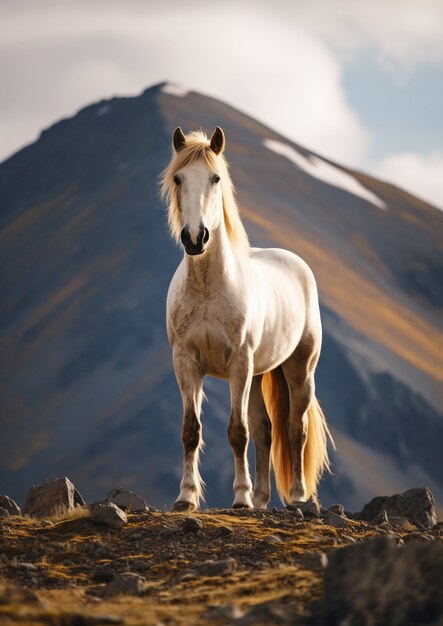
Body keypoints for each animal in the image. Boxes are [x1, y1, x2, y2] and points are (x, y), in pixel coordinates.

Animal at [161, 125, 334, 508]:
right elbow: (190, 431)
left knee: (295, 429)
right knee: (264, 430)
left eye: (215, 178)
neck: (208, 289)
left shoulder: (238, 362)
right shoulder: (186, 362)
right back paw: (262, 498)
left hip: (299, 369)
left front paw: (240, 498)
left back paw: (296, 497)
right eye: (179, 178)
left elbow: (236, 432)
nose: (195, 238)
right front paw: (186, 497)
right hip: (257, 375)